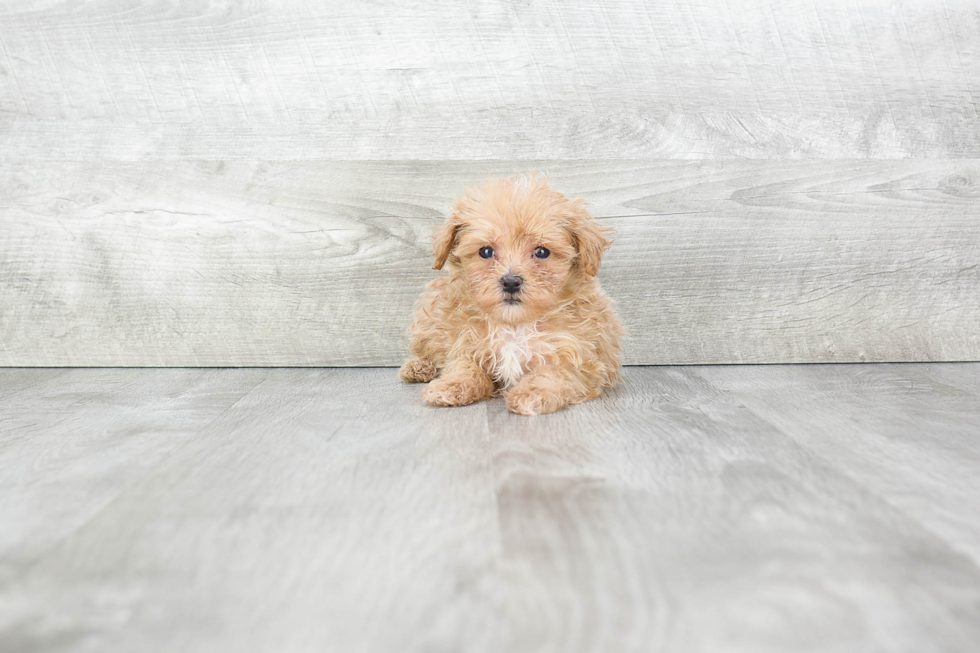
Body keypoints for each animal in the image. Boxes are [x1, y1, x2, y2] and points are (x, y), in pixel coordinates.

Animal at [396, 176, 620, 416]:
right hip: (429, 313)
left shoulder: (580, 359)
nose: (511, 282)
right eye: (486, 251)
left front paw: (532, 393)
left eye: (542, 252)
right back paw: (418, 367)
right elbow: (465, 366)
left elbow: (555, 373)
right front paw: (450, 385)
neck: (514, 324)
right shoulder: (465, 343)